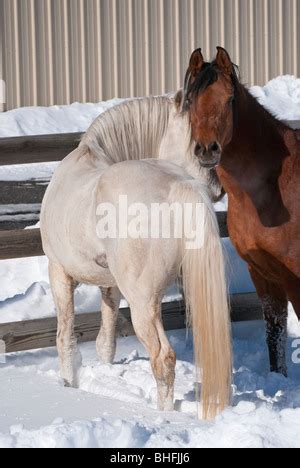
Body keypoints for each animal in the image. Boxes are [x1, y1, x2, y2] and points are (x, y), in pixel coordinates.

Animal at [40, 93, 232, 418]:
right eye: (196, 137)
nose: (218, 189)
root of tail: (177, 184)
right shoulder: (110, 285)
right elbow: (106, 341)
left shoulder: (59, 272)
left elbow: (65, 336)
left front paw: (68, 383)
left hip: (143, 303)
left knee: (163, 358)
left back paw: (163, 414)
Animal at [185, 46, 300, 376]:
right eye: (190, 100)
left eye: (229, 99)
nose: (206, 149)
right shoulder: (263, 274)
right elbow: (274, 335)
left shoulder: (295, 278)